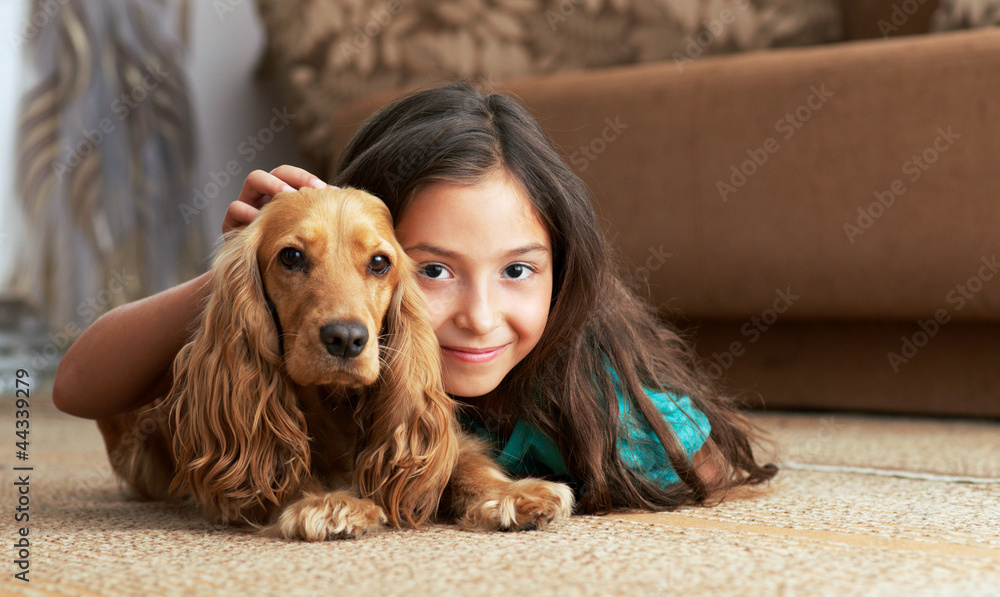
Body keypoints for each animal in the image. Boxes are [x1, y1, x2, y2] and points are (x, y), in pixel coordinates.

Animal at [99, 187, 580, 540]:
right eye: (291, 256)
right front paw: (330, 504)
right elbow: (281, 466)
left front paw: (513, 494)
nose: (346, 338)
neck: (335, 403)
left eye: (380, 262)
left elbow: (463, 463)